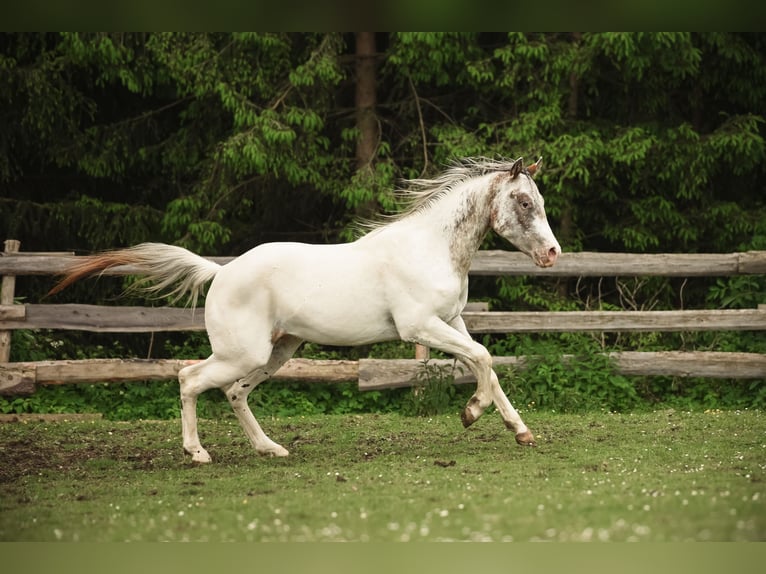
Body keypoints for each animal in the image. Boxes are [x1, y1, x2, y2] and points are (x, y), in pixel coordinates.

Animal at [50, 157, 561, 463]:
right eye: (522, 201)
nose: (553, 253)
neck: (430, 249)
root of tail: (221, 271)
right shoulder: (420, 327)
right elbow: (484, 360)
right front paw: (471, 413)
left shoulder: (452, 321)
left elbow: (486, 364)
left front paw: (521, 431)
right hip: (244, 352)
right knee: (189, 378)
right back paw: (198, 454)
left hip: (277, 352)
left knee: (234, 392)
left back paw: (270, 448)